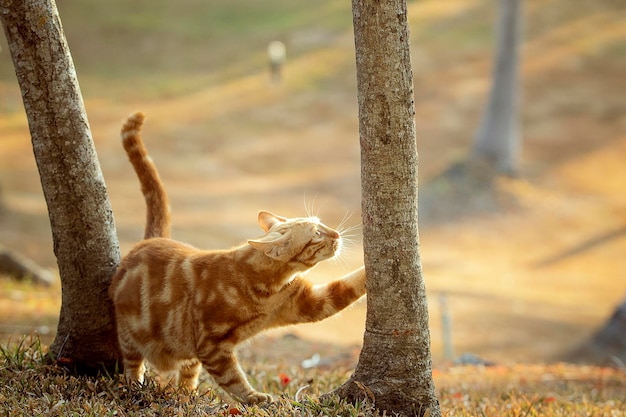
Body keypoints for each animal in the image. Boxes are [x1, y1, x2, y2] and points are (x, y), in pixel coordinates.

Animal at [108, 111, 366, 404]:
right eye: (316, 234)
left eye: (321, 223)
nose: (337, 234)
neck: (268, 289)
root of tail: (147, 241)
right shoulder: (212, 345)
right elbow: (234, 380)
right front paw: (257, 399)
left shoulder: (311, 303)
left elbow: (348, 286)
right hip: (130, 337)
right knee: (133, 364)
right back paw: (136, 387)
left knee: (187, 374)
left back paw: (186, 395)